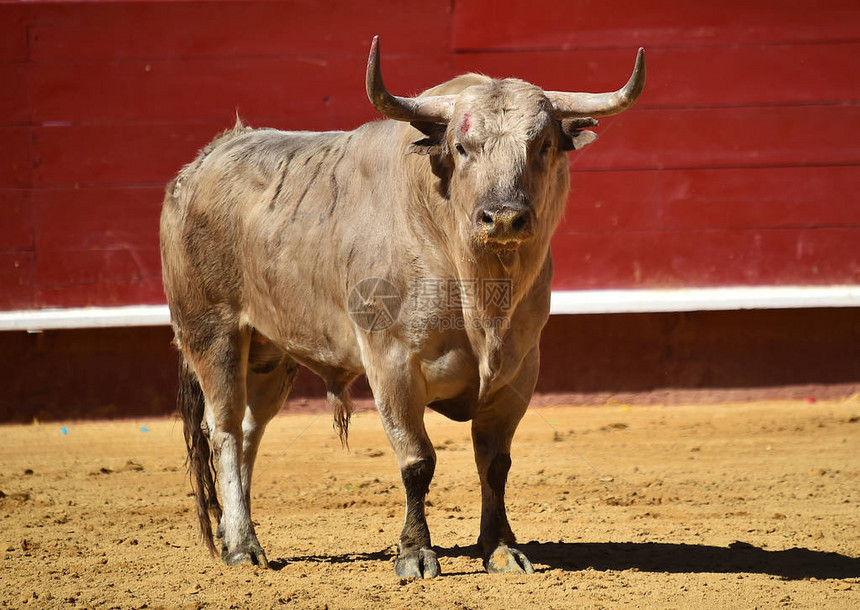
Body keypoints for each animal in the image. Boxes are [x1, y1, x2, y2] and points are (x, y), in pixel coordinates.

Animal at [160, 35, 644, 576]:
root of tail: (204, 160)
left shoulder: (520, 370)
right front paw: (415, 553)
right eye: (461, 147)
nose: (502, 218)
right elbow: (417, 461)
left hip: (270, 352)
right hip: (212, 331)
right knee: (222, 429)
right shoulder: (391, 364)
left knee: (248, 431)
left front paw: (500, 548)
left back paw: (235, 534)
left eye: (542, 145)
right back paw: (243, 546)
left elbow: (495, 463)